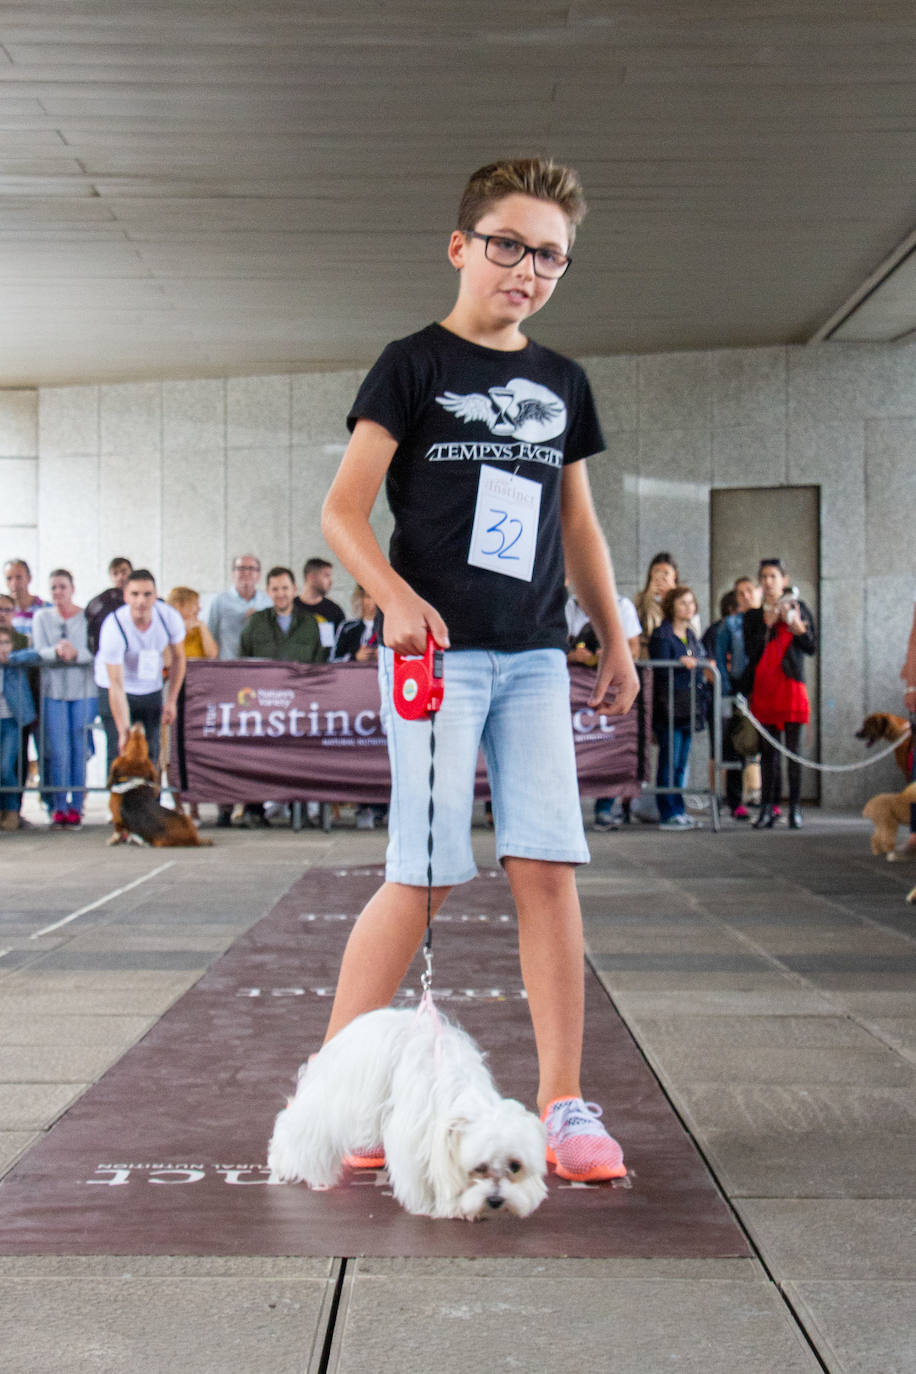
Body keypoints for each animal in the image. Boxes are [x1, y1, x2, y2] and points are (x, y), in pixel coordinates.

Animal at [265, 1000, 543, 1225]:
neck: (458, 1094)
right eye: (480, 1167)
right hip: (334, 1101)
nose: (496, 1200)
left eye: (515, 1166)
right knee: (295, 1128)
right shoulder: (413, 1140)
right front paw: (437, 1206)